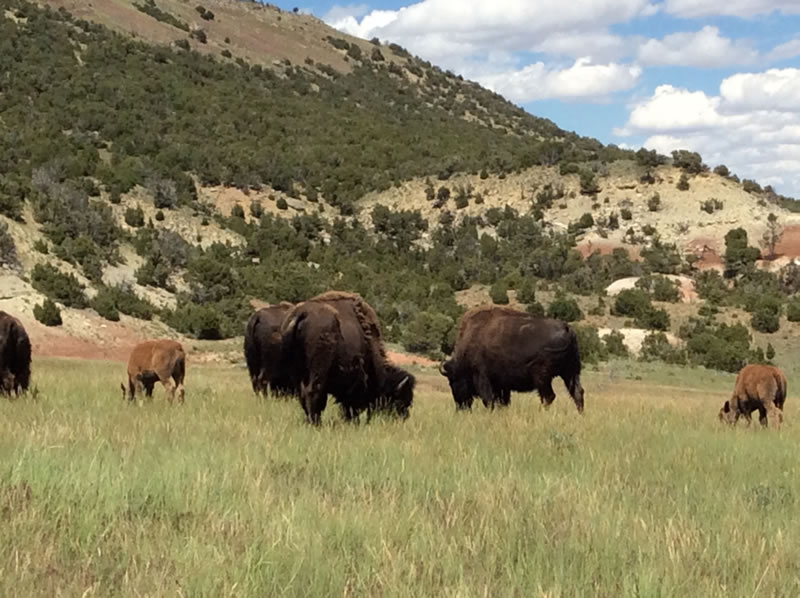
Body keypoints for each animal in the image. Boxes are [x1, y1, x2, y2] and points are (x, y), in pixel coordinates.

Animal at [280, 291, 414, 424]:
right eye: (398, 400)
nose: (403, 418)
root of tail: (302, 314)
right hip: (317, 371)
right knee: (312, 392)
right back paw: (316, 423)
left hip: (296, 372)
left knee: (303, 395)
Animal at [440, 305, 584, 413]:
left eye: (452, 381)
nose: (460, 408)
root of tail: (567, 328)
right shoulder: (502, 385)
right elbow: (503, 402)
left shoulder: (482, 377)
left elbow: (489, 400)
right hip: (570, 372)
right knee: (577, 393)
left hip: (543, 377)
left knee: (549, 396)